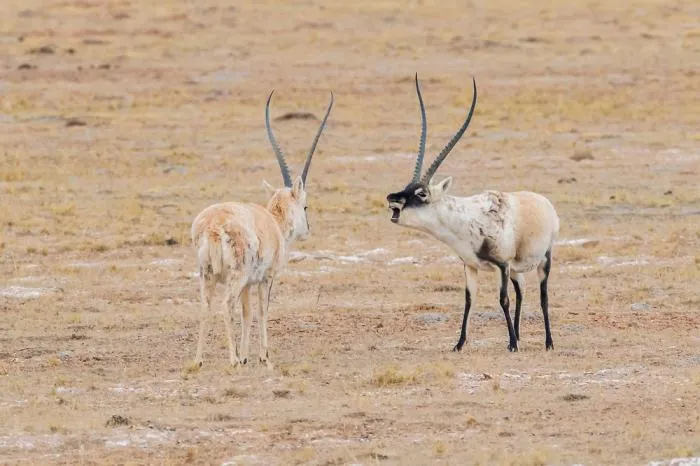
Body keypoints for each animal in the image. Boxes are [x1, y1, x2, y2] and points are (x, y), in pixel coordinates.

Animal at [191, 90, 334, 368]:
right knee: (225, 306)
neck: (273, 221)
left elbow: (247, 313)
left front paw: (247, 355)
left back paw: (198, 361)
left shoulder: (249, 284)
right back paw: (233, 360)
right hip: (234, 276)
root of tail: (212, 225)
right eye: (306, 205)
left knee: (205, 307)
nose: (307, 230)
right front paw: (262, 356)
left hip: (207, 275)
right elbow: (262, 309)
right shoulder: (266, 278)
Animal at [388, 75, 556, 354]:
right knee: (522, 290)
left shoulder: (501, 265)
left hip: (542, 260)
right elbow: (469, 300)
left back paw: (547, 342)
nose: (392, 198)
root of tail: (544, 203)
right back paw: (518, 335)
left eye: (422, 193)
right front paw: (459, 344)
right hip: (516, 269)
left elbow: (503, 300)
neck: (464, 218)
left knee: (542, 296)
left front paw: (512, 345)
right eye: (408, 186)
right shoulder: (470, 265)